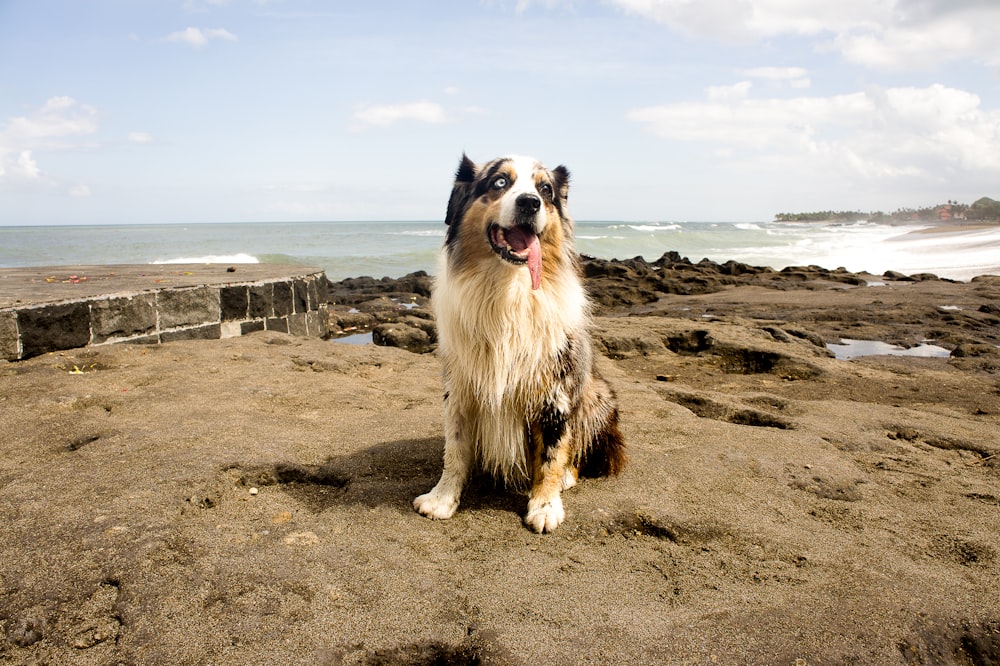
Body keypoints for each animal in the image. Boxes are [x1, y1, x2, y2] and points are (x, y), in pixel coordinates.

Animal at [410, 153, 620, 532]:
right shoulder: (460, 385)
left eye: (545, 189)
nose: (529, 203)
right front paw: (442, 499)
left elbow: (552, 452)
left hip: (596, 396)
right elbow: (455, 448)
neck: (508, 289)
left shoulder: (555, 388)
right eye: (499, 182)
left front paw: (545, 506)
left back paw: (568, 476)